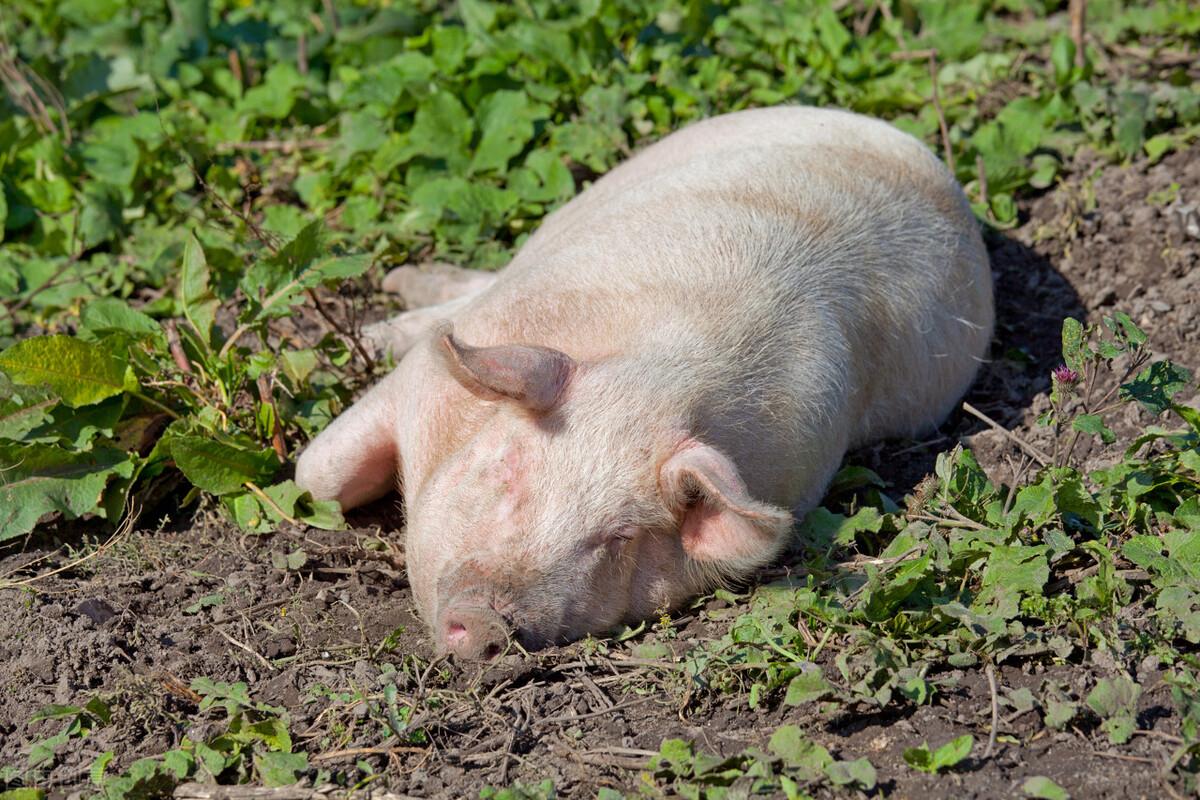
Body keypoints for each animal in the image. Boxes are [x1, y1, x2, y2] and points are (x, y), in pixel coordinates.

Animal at [292, 103, 993, 662]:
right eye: (508, 469)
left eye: (618, 538)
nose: (487, 621)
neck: (662, 379)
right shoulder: (423, 380)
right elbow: (315, 474)